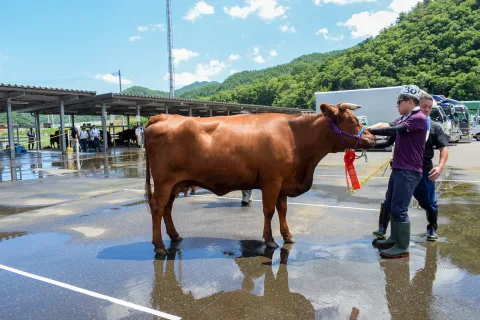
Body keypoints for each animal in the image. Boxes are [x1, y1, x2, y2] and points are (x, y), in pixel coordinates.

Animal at [142, 102, 376, 255]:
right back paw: (160, 246)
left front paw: (287, 236)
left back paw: (174, 236)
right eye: (353, 120)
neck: (296, 137)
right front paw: (270, 240)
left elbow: (283, 210)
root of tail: (163, 116)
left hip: (174, 183)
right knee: (157, 207)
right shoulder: (272, 181)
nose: (373, 138)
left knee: (167, 208)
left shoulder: (284, 183)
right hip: (164, 181)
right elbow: (269, 211)